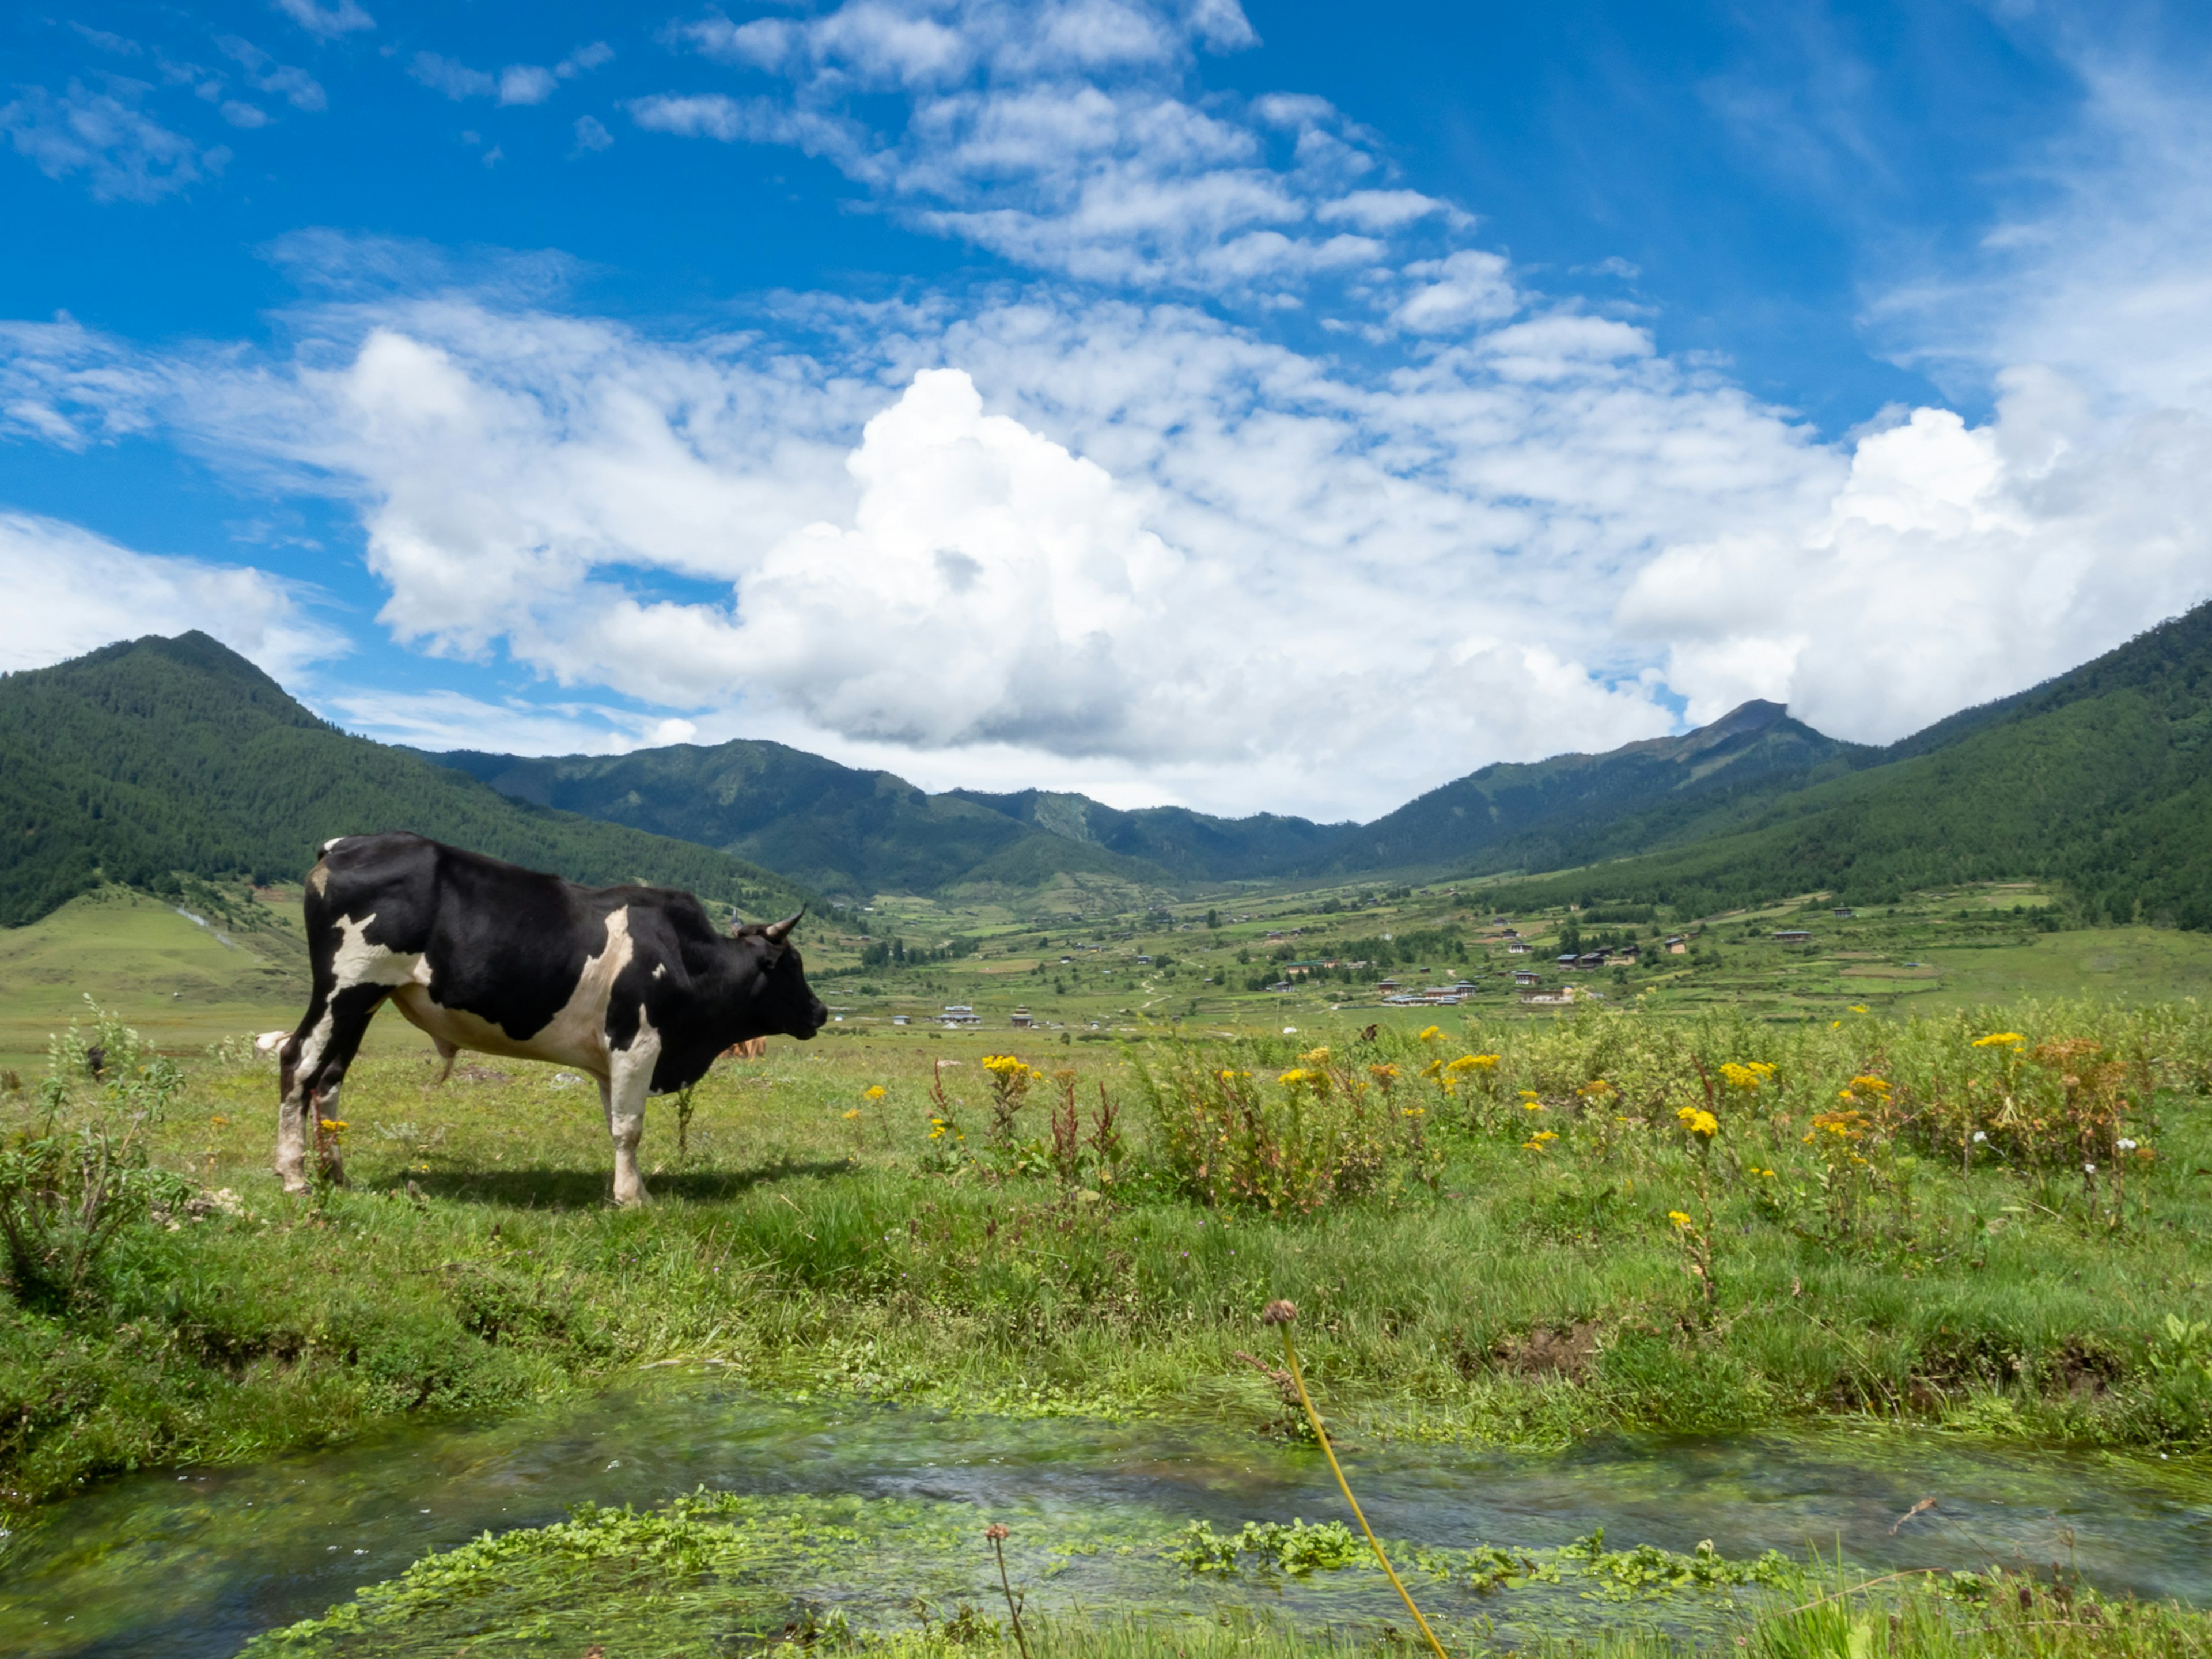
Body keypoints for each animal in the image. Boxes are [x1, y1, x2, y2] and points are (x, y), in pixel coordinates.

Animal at [275, 836, 827, 1203]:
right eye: (794, 964)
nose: (820, 1011)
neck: (685, 958)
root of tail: (347, 845)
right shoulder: (637, 1043)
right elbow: (630, 1127)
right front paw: (633, 1199)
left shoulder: (610, 1060)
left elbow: (615, 1124)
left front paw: (630, 1188)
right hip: (347, 988)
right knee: (297, 1062)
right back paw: (295, 1176)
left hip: (365, 1002)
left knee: (329, 1077)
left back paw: (338, 1176)